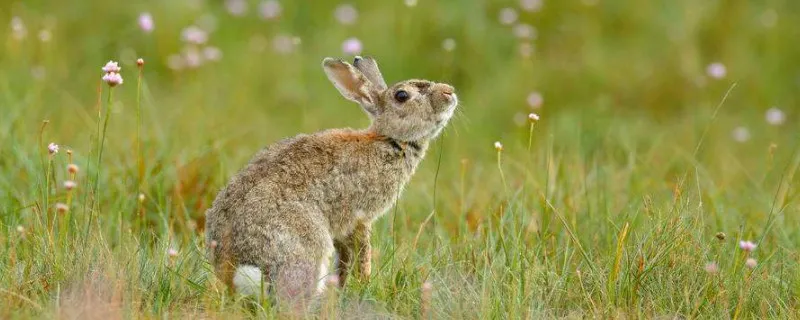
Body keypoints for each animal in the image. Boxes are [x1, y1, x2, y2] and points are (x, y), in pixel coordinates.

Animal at [203, 56, 460, 304]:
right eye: (402, 96)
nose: (449, 92)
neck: (389, 140)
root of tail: (231, 268)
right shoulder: (359, 218)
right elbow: (361, 253)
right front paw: (363, 282)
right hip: (304, 245)